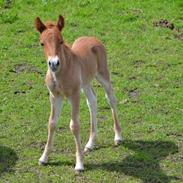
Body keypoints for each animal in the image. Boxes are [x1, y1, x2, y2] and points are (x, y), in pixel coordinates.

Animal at [35, 14, 122, 172]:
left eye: (61, 41)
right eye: (42, 43)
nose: (54, 63)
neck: (61, 73)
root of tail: (93, 38)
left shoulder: (74, 95)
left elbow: (74, 125)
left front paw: (80, 164)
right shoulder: (55, 96)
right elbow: (52, 122)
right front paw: (44, 158)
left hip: (102, 74)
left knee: (111, 98)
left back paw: (118, 136)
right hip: (86, 83)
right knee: (92, 101)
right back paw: (90, 143)